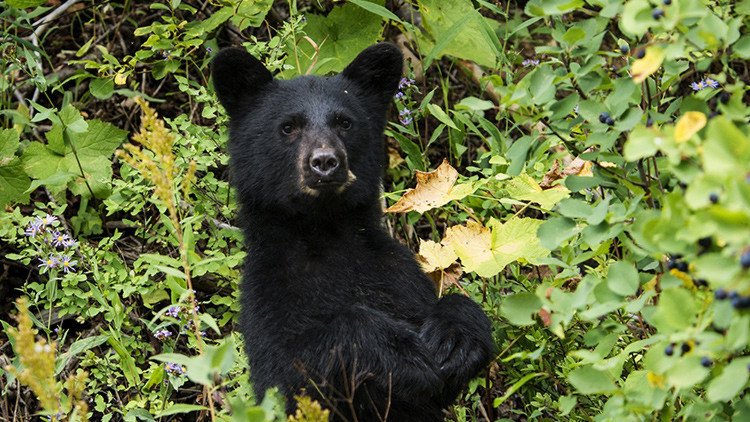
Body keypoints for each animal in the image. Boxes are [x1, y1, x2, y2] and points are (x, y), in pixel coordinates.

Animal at [212, 44, 496, 420]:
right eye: (288, 127)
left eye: (344, 122)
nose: (325, 161)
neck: (323, 231)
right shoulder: (269, 296)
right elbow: (293, 367)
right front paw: (399, 350)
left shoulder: (395, 274)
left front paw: (454, 339)